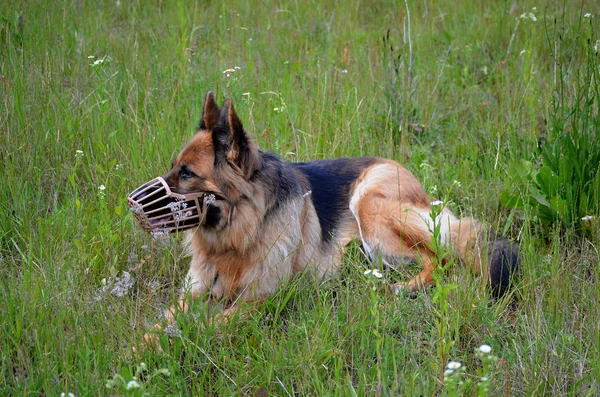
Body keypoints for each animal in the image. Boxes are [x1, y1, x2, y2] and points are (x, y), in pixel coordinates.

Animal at [144, 91, 516, 332]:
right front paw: (143, 349)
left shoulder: (259, 300)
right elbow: (161, 323)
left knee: (440, 259)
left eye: (187, 174)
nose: (135, 202)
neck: (238, 237)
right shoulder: (195, 292)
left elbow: (211, 324)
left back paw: (402, 287)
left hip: (369, 206)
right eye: (175, 166)